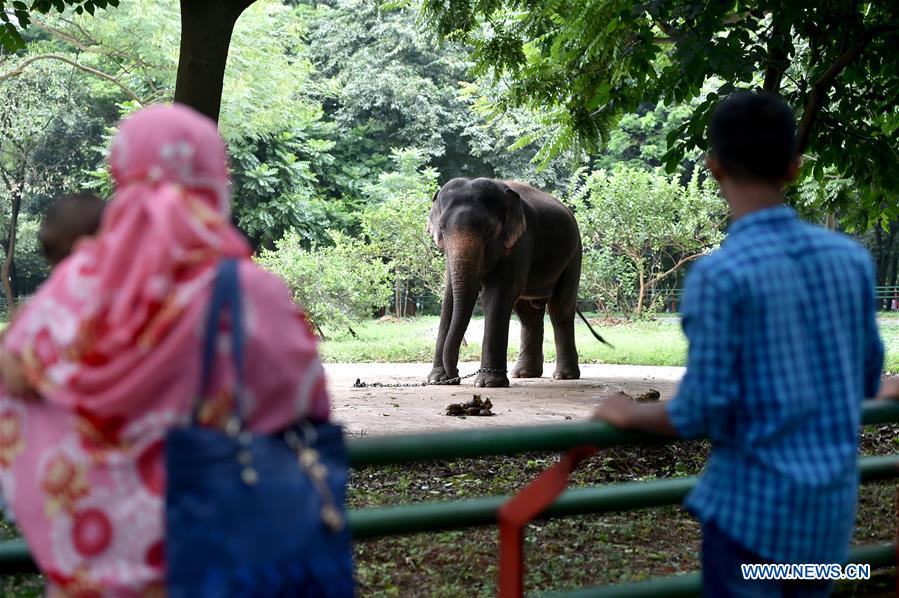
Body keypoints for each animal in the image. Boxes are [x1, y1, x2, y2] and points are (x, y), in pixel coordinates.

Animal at [426, 176, 608, 390]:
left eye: (489, 230)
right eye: (442, 228)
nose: (456, 376)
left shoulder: (520, 244)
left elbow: (496, 297)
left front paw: (488, 384)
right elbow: (449, 299)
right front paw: (438, 380)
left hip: (574, 256)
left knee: (560, 309)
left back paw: (565, 376)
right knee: (528, 315)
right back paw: (524, 374)